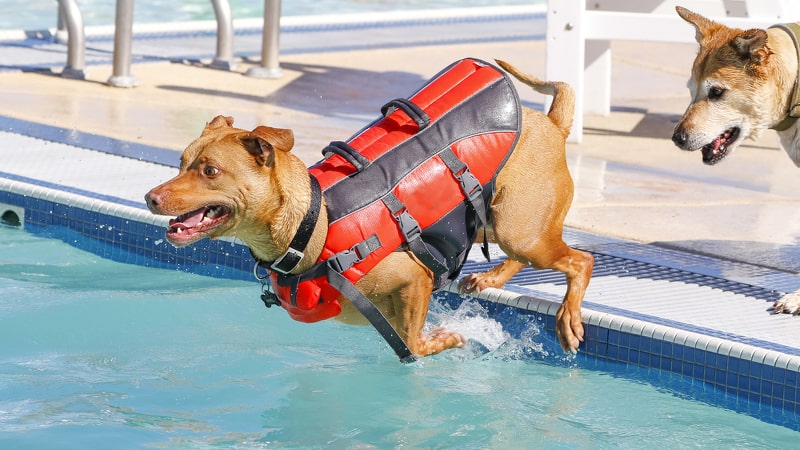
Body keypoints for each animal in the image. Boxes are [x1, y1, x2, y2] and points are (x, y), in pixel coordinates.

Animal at [145, 59, 592, 356]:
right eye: (181, 162)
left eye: (210, 171)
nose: (151, 197)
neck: (313, 223)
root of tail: (552, 123)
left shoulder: (414, 277)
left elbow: (413, 341)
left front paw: (445, 338)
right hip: (495, 221)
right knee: (529, 254)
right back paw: (489, 278)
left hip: (521, 230)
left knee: (579, 260)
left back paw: (568, 318)